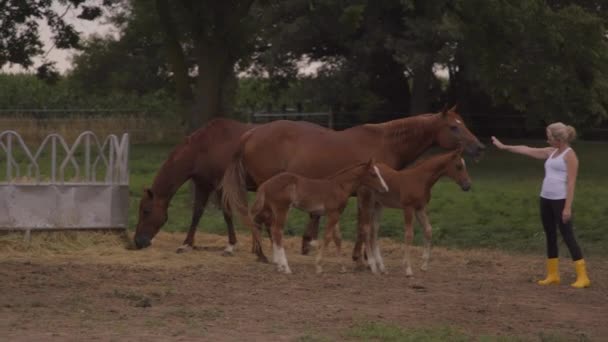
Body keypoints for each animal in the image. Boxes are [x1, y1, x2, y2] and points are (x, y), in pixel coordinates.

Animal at [132, 119, 255, 252]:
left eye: (146, 211)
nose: (138, 241)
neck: (204, 149)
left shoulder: (221, 187)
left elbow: (227, 214)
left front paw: (231, 245)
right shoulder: (203, 186)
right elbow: (197, 213)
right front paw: (186, 244)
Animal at [248, 159, 388, 274]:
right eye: (373, 174)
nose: (385, 189)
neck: (339, 186)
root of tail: (265, 184)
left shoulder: (335, 214)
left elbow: (337, 238)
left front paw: (342, 267)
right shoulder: (333, 214)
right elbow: (327, 237)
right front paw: (319, 266)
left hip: (269, 209)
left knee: (268, 228)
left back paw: (279, 266)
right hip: (281, 209)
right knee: (277, 231)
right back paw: (286, 267)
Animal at [368, 148, 472, 276]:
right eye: (458, 166)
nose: (468, 185)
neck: (420, 179)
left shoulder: (420, 208)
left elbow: (428, 230)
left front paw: (424, 265)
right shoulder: (408, 208)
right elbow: (409, 235)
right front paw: (408, 268)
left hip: (379, 206)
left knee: (374, 231)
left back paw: (381, 267)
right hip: (370, 204)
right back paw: (373, 265)